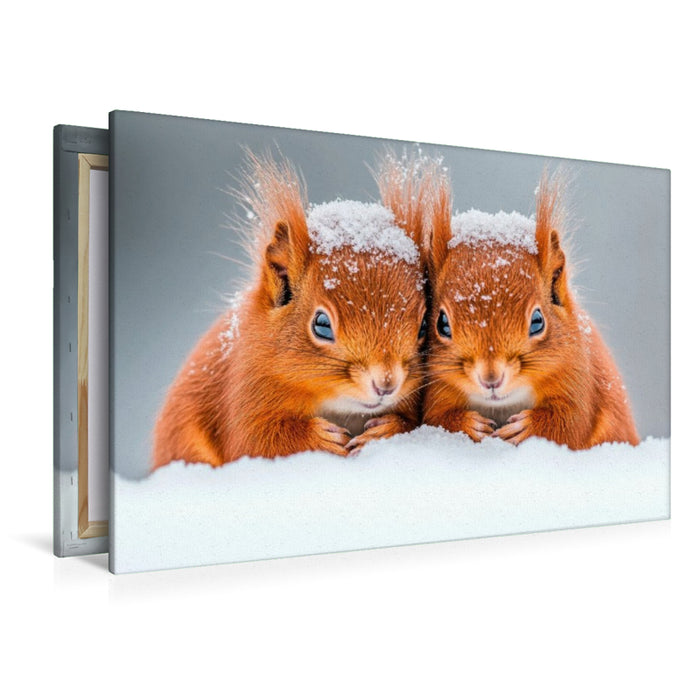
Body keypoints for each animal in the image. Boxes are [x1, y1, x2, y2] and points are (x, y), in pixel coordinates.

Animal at [151, 152, 428, 469]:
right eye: (321, 325)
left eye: (423, 326)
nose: (386, 383)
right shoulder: (245, 389)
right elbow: (255, 441)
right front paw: (319, 439)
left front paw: (387, 429)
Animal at [418, 167, 640, 450]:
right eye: (442, 324)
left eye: (537, 321)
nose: (491, 379)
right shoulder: (437, 389)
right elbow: (436, 419)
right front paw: (469, 424)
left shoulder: (578, 377)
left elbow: (570, 423)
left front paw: (526, 427)